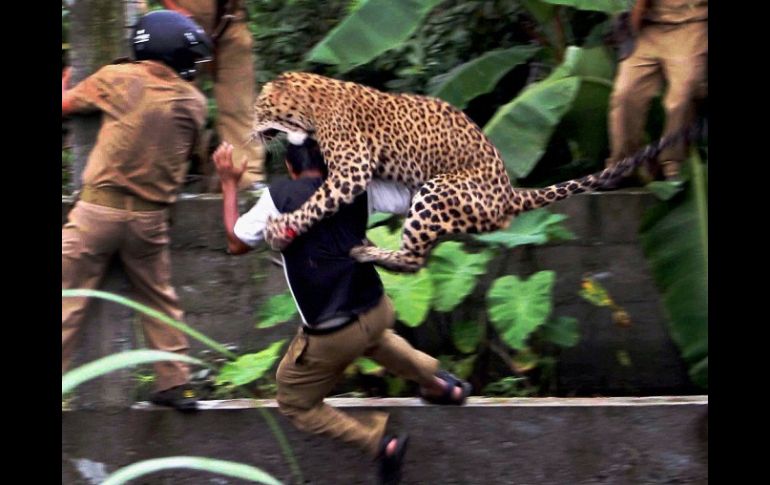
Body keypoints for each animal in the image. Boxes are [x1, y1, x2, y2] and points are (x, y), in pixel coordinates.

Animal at [252, 73, 680, 274]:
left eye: (259, 107)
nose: (251, 129)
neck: (310, 103)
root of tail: (509, 191)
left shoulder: (352, 168)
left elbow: (316, 201)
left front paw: (281, 227)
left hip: (437, 189)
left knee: (414, 259)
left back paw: (366, 251)